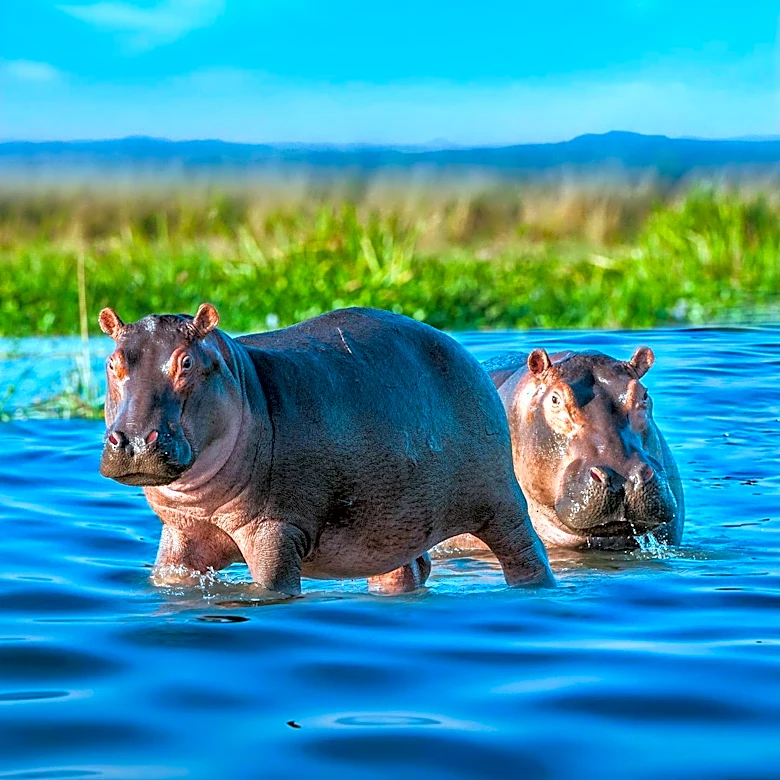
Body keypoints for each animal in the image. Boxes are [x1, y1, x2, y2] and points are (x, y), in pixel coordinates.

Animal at [98, 304, 553, 596]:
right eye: (112, 362)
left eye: (187, 362)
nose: (134, 440)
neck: (242, 381)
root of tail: (465, 354)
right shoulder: (181, 533)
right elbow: (169, 577)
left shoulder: (276, 530)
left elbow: (272, 587)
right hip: (391, 525)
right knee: (407, 569)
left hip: (501, 504)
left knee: (526, 553)